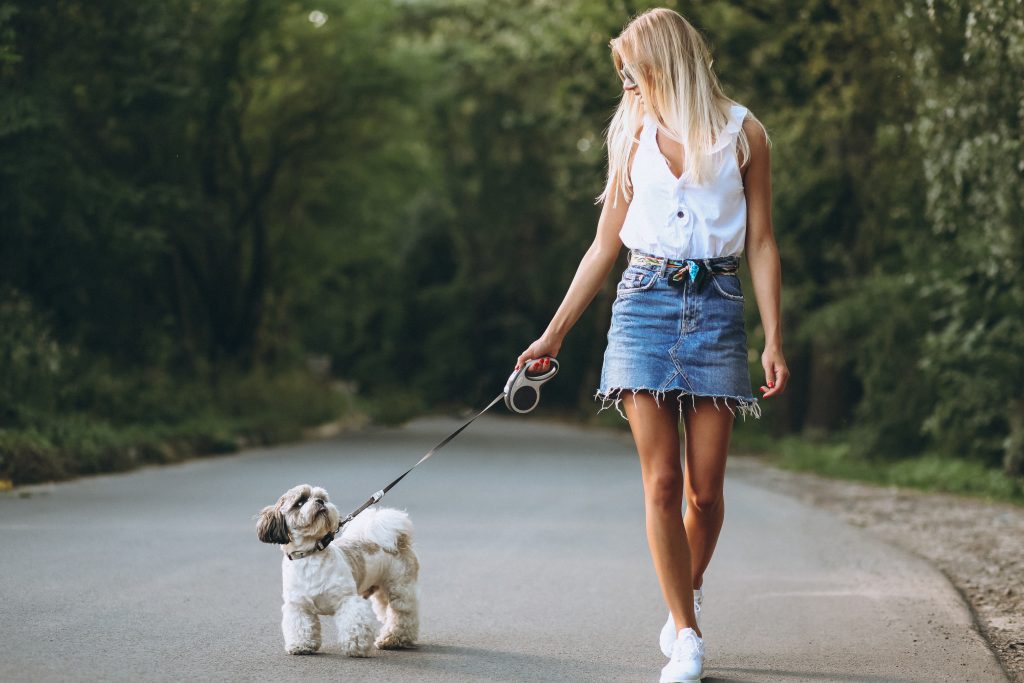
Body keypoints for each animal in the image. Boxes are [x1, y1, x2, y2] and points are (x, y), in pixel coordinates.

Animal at [256, 485, 419, 655]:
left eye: (322, 497)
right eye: (300, 502)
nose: (320, 501)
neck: (311, 554)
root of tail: (395, 540)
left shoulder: (347, 600)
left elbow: (354, 624)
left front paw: (355, 646)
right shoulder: (298, 605)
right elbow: (301, 626)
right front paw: (301, 645)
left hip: (399, 589)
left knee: (402, 615)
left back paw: (393, 639)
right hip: (381, 591)